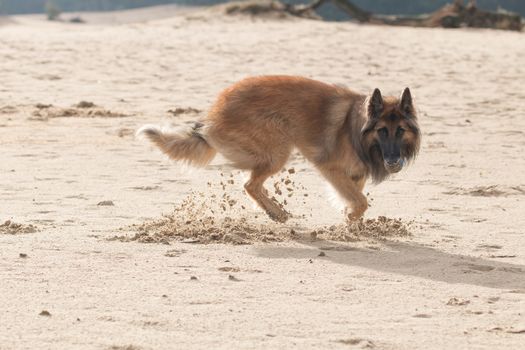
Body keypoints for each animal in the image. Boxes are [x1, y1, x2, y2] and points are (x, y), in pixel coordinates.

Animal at [137, 77, 420, 224]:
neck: (357, 129)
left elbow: (356, 199)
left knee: (251, 183)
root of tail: (212, 115)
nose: (394, 162)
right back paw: (276, 212)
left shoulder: (355, 175)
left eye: (400, 131)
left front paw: (351, 223)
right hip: (279, 148)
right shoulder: (331, 169)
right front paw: (351, 217)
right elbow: (361, 201)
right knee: (250, 184)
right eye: (382, 130)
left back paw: (274, 211)